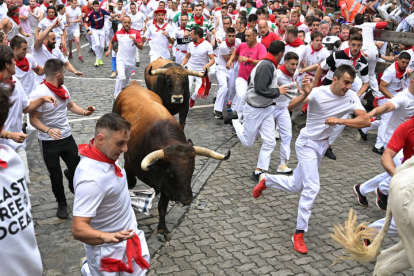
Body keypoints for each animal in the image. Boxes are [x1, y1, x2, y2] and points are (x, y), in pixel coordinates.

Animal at [113, 81, 230, 240]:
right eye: (169, 171)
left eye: (192, 169)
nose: (187, 200)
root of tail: (134, 85)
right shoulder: (130, 166)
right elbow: (129, 184)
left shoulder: (167, 187)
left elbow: (162, 207)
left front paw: (162, 230)